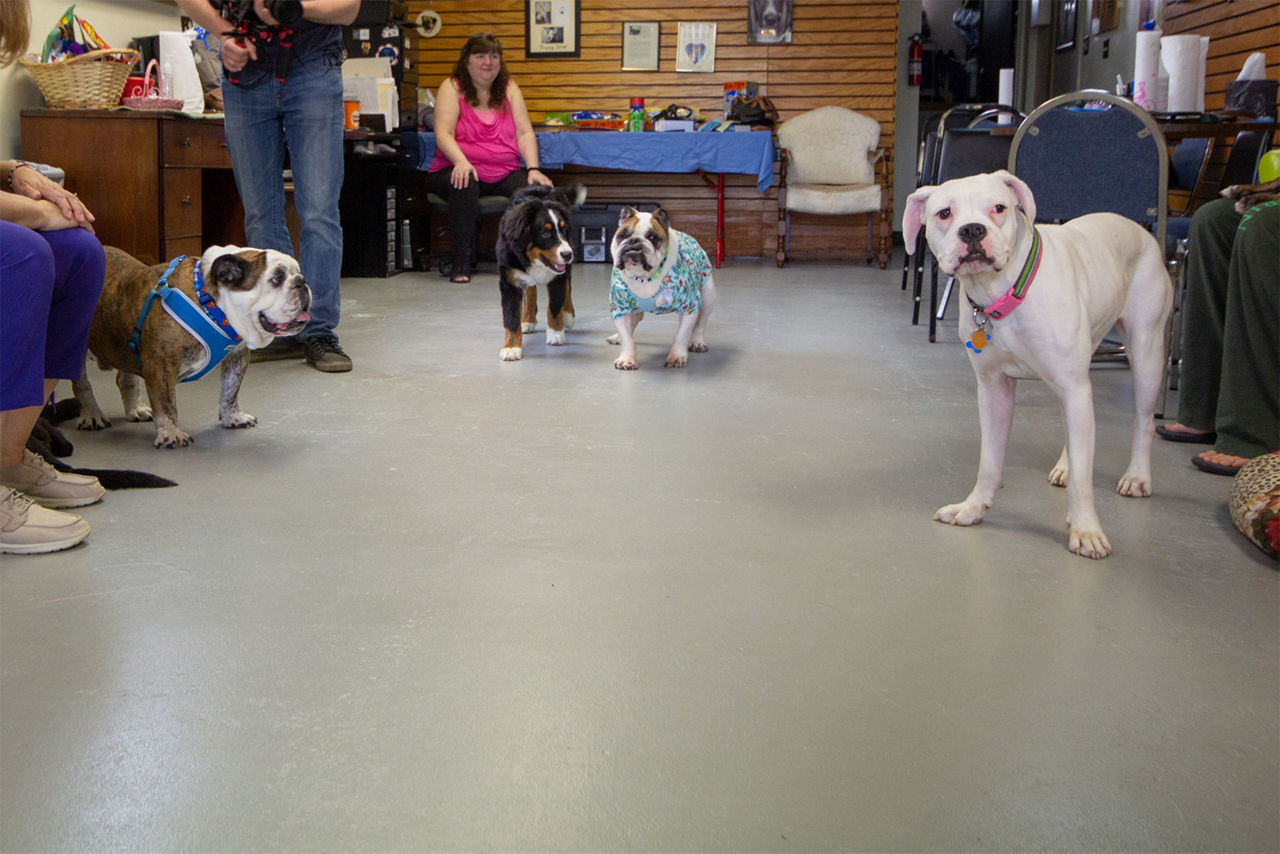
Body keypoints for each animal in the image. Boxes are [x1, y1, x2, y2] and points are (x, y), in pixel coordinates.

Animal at [496, 184, 586, 361]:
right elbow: (511, 316)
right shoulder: (509, 281)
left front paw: (556, 333)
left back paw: (568, 315)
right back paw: (527, 319)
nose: (568, 254)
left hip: (567, 266)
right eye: (545, 233)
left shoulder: (558, 277)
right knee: (531, 291)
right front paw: (511, 347)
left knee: (568, 286)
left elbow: (555, 306)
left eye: (563, 230)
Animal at [901, 171, 1172, 560]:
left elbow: (1084, 481)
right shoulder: (994, 390)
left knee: (1144, 421)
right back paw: (1066, 465)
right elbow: (989, 461)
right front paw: (973, 507)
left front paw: (1086, 530)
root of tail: (1139, 228)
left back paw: (1137, 476)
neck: (1003, 292)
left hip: (1146, 352)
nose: (972, 230)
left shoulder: (1073, 387)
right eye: (944, 214)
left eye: (998, 208)